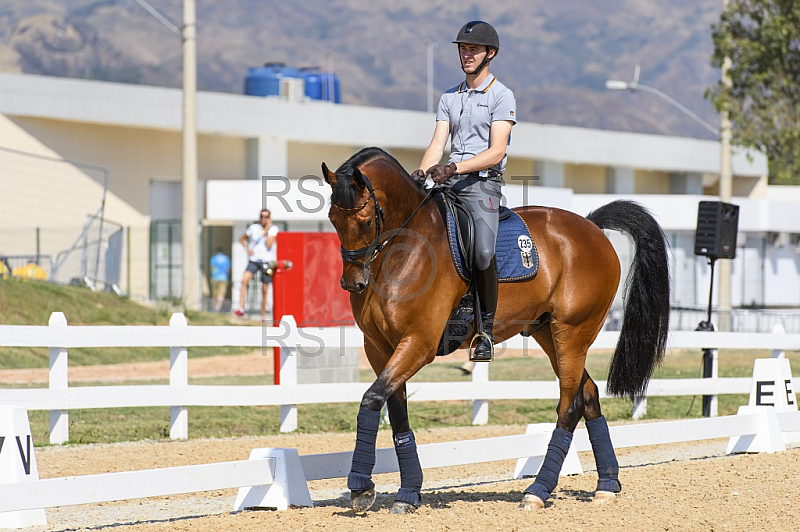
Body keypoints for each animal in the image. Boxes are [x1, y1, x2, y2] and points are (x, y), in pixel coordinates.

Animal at [322, 148, 672, 512]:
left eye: (365, 221)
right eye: (332, 219)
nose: (353, 283)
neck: (404, 249)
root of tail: (590, 225)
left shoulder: (419, 343)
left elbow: (371, 398)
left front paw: (361, 487)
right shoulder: (380, 348)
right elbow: (394, 410)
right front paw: (407, 493)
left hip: (573, 331)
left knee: (569, 406)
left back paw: (537, 490)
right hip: (549, 334)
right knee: (587, 394)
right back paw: (606, 484)